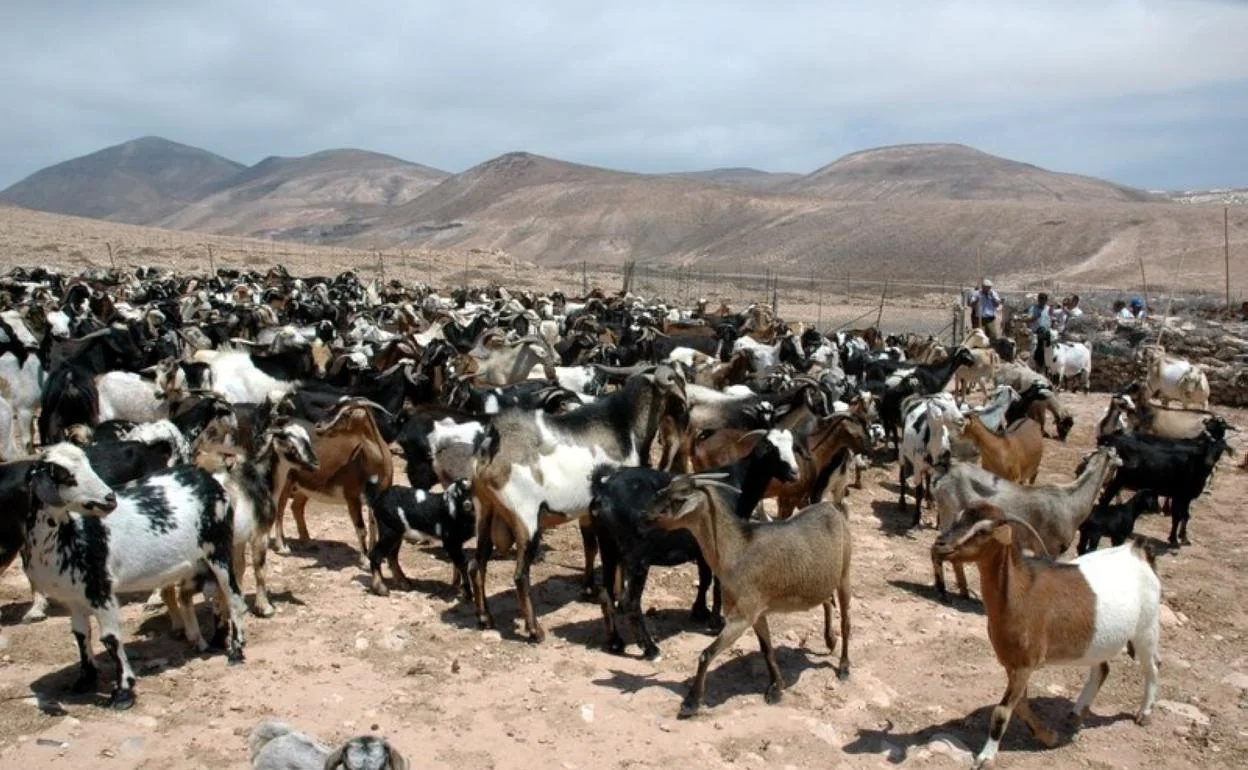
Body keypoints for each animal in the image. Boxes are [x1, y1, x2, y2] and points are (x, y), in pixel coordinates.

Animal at [21, 441, 244, 703]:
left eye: (89, 465)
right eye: (65, 475)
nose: (109, 499)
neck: (70, 533)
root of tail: (208, 479)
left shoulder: (100, 590)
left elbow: (110, 637)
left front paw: (123, 692)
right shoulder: (73, 597)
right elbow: (80, 634)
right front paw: (84, 681)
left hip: (219, 548)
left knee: (234, 597)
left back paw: (236, 652)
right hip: (199, 563)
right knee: (213, 596)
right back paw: (214, 642)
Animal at [643, 476, 848, 718]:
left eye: (678, 500)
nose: (644, 516)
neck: (737, 551)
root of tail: (830, 506)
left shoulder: (742, 615)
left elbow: (706, 653)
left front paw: (691, 703)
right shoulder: (757, 613)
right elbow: (766, 649)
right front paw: (776, 689)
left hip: (845, 575)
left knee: (846, 622)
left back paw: (844, 668)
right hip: (820, 579)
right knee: (826, 600)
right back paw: (830, 639)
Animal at [928, 446, 1123, 596]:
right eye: (1115, 464)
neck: (1070, 501)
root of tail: (947, 470)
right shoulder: (1050, 549)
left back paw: (963, 591)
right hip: (950, 516)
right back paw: (943, 589)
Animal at [938, 501, 1158, 763]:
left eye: (982, 530)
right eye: (958, 519)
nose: (940, 544)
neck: (1020, 593)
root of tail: (1137, 552)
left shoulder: (1025, 664)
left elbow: (1003, 710)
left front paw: (986, 757)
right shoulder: (1011, 663)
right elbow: (1021, 705)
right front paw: (1049, 737)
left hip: (1146, 629)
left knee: (1152, 667)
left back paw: (1144, 714)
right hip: (1098, 642)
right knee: (1102, 669)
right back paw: (1076, 713)